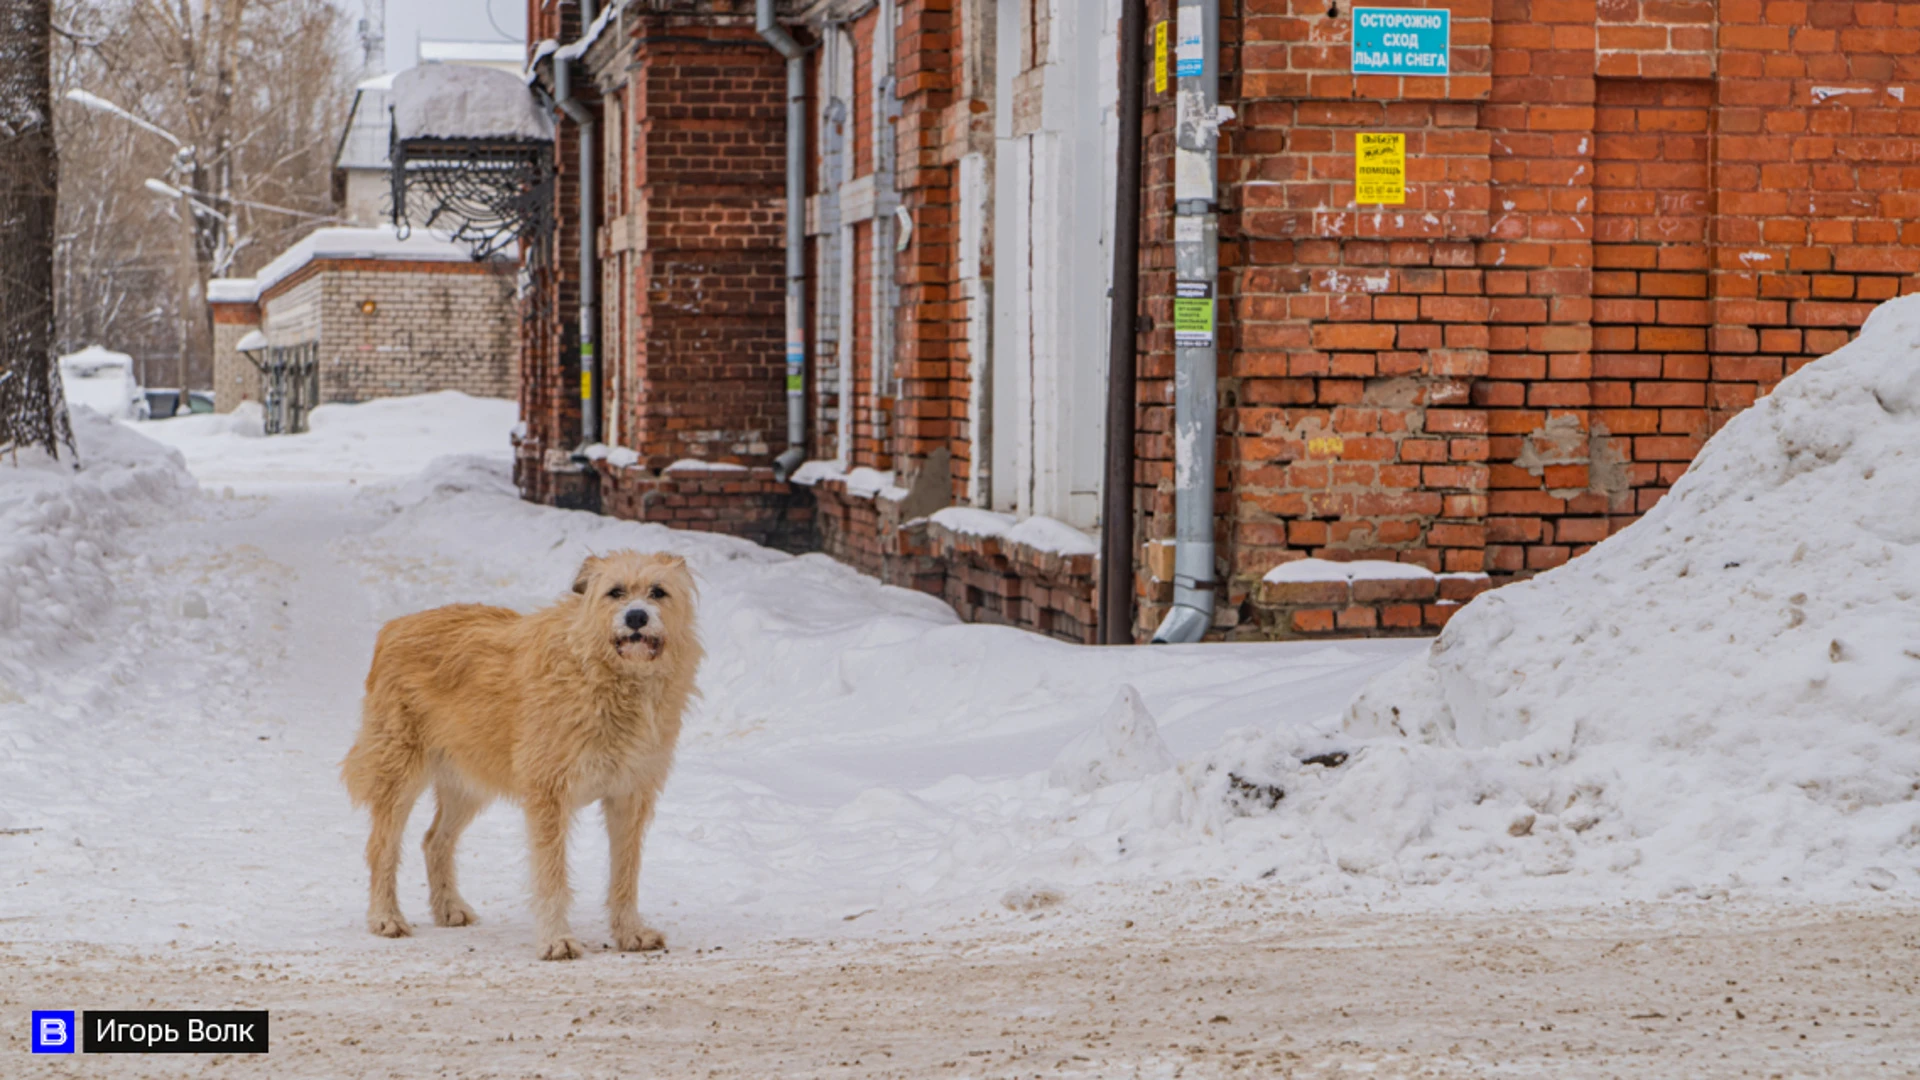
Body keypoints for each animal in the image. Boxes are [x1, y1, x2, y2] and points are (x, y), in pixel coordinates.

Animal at [341, 549, 702, 953]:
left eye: (658, 592)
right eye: (615, 592)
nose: (636, 616)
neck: (608, 676)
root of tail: (394, 626)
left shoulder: (630, 796)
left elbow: (626, 872)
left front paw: (630, 931)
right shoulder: (549, 795)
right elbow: (552, 875)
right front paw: (556, 939)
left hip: (468, 783)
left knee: (435, 840)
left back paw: (449, 907)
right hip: (399, 775)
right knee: (382, 846)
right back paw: (385, 917)